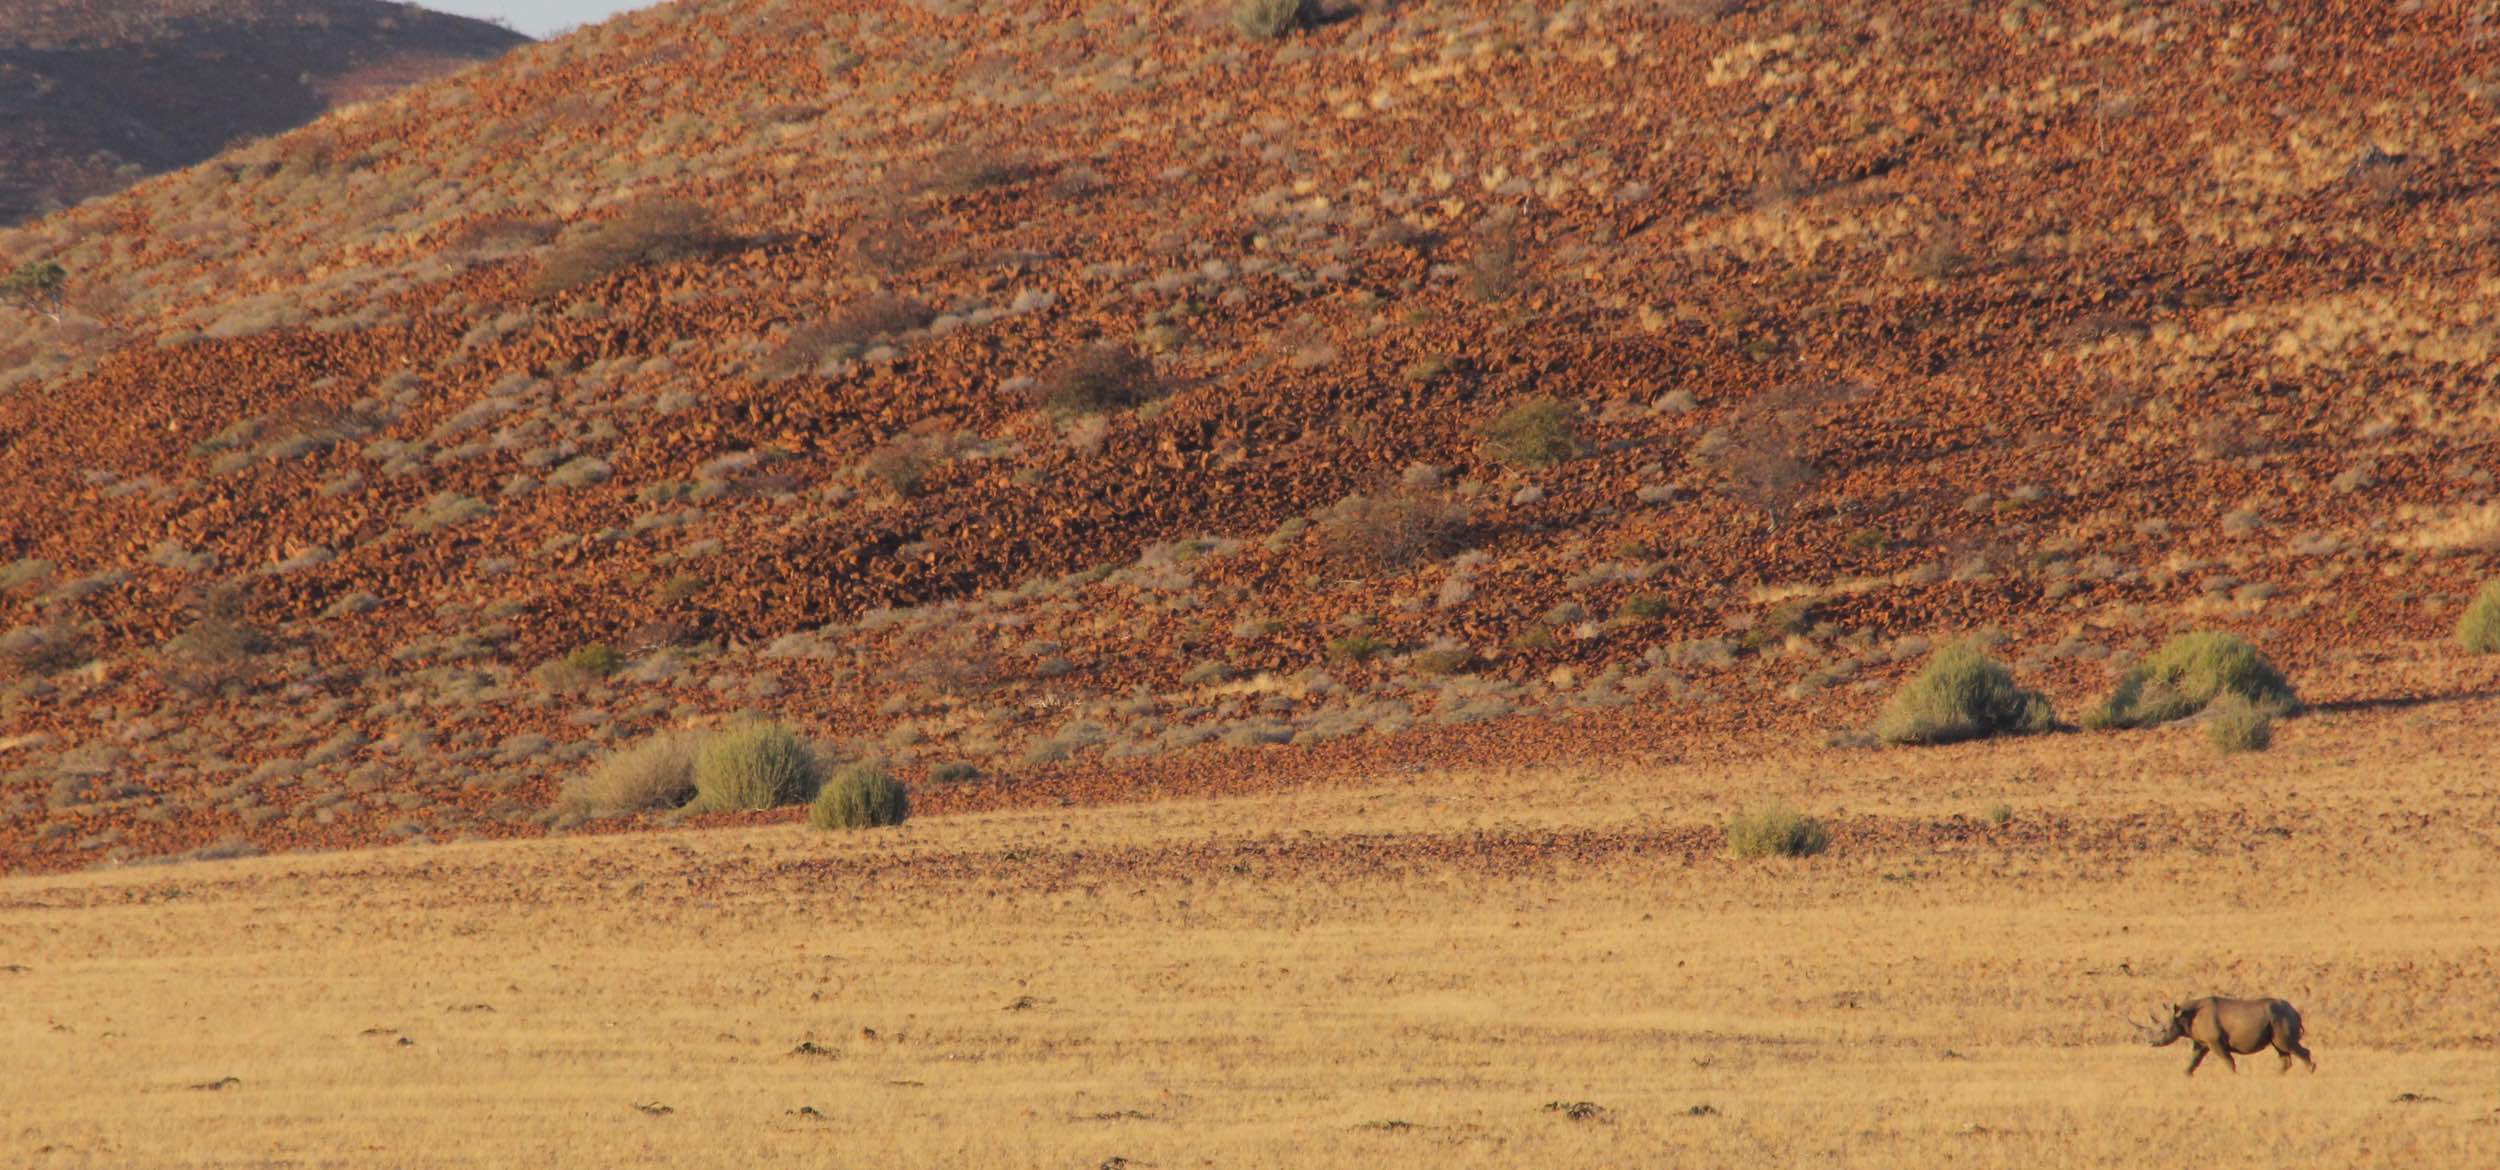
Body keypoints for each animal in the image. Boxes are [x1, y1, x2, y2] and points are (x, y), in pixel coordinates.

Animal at [2133, 996, 2315, 1075]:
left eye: (2163, 1030)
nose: (2151, 1043)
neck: (2184, 1015)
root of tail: (2295, 1011)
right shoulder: (2201, 1041)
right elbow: (2194, 1060)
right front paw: (2185, 1075)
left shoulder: (2215, 1042)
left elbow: (2228, 1061)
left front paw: (2233, 1076)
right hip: (2278, 1018)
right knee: (2281, 1049)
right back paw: (2276, 1076)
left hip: (2282, 1017)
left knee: (2287, 1045)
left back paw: (2309, 1073)